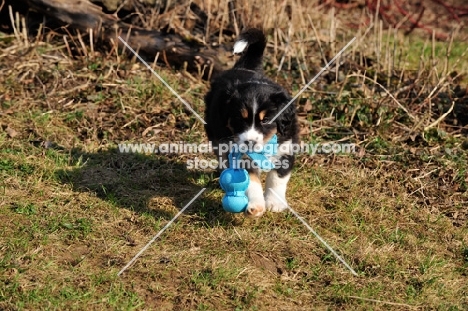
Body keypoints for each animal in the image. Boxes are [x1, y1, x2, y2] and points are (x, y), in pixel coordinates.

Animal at [205, 29, 300, 219]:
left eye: (266, 120)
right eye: (240, 119)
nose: (250, 142)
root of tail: (242, 67)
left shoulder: (287, 146)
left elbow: (277, 178)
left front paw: (275, 203)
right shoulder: (241, 155)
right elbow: (251, 181)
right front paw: (256, 206)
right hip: (215, 133)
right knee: (221, 154)